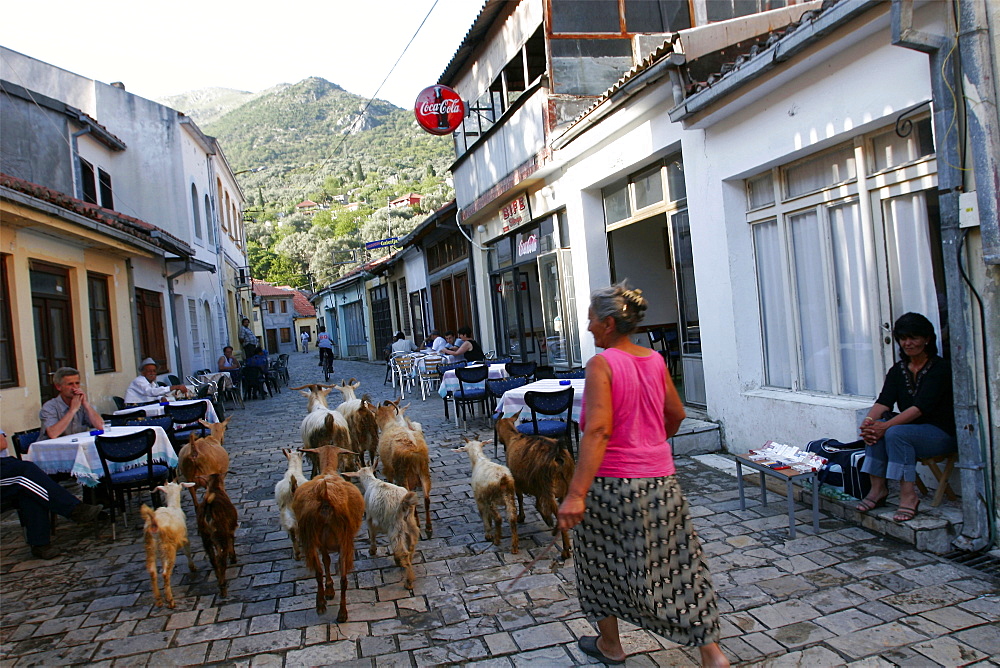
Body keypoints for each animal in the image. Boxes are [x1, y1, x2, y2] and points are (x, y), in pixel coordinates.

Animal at [292, 446, 366, 620]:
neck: (328, 471)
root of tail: (325, 496)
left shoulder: (322, 544)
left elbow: (326, 562)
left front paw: (329, 589)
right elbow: (327, 562)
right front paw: (330, 590)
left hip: (314, 539)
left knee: (320, 572)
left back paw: (322, 605)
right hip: (342, 540)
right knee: (341, 577)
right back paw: (340, 612)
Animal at [374, 402, 432, 536]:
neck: (391, 424)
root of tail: (414, 449)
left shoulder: (389, 471)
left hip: (403, 474)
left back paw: (417, 524)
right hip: (423, 471)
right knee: (426, 498)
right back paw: (428, 528)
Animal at [496, 414, 576, 560]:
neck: (513, 437)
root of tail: (559, 456)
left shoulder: (518, 482)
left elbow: (521, 498)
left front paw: (522, 517)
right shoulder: (537, 486)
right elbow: (537, 504)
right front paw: (548, 519)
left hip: (549, 488)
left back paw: (565, 550)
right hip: (566, 487)